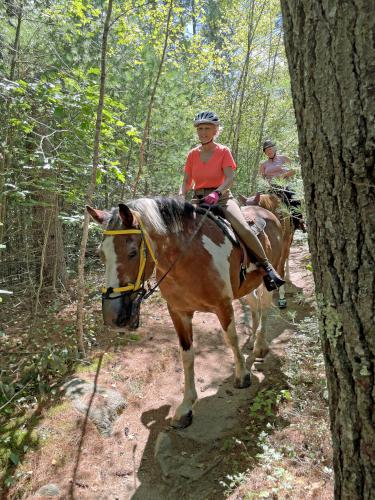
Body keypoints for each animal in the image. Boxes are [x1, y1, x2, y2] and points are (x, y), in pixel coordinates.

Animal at [86, 197, 284, 428]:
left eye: (133, 252)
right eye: (101, 255)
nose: (112, 316)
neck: (188, 259)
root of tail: (267, 212)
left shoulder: (223, 305)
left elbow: (231, 339)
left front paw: (242, 375)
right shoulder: (178, 313)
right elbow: (186, 355)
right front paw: (186, 406)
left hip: (266, 279)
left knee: (264, 307)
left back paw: (260, 345)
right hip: (245, 288)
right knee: (254, 306)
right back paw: (252, 341)